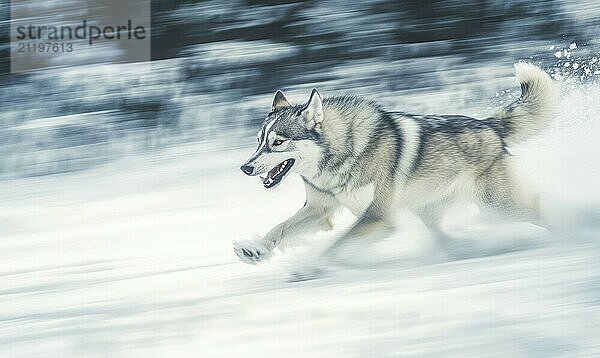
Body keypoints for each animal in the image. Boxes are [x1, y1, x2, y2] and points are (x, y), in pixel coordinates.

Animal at [233, 63, 556, 268]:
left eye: (278, 142)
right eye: (259, 140)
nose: (245, 168)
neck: (341, 155)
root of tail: (489, 125)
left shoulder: (377, 218)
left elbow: (336, 245)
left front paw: (311, 267)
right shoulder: (319, 209)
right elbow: (278, 229)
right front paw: (255, 250)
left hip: (498, 205)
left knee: (541, 208)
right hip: (429, 210)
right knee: (445, 238)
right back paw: (462, 250)